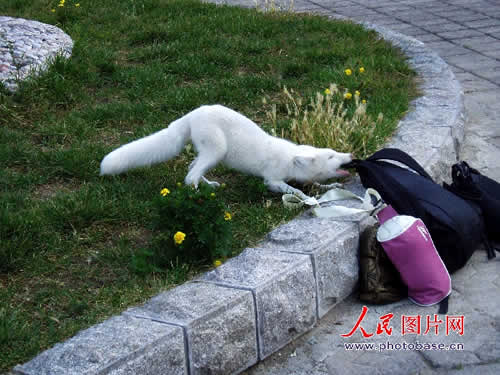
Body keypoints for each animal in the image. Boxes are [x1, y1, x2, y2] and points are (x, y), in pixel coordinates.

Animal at [100, 104, 352, 198]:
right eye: (331, 156)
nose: (351, 155)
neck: (290, 158)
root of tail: (191, 114)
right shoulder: (271, 179)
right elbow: (294, 190)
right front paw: (307, 199)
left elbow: (315, 183)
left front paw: (330, 187)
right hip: (217, 150)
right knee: (190, 175)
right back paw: (198, 195)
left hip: (209, 154)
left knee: (192, 167)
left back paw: (209, 186)